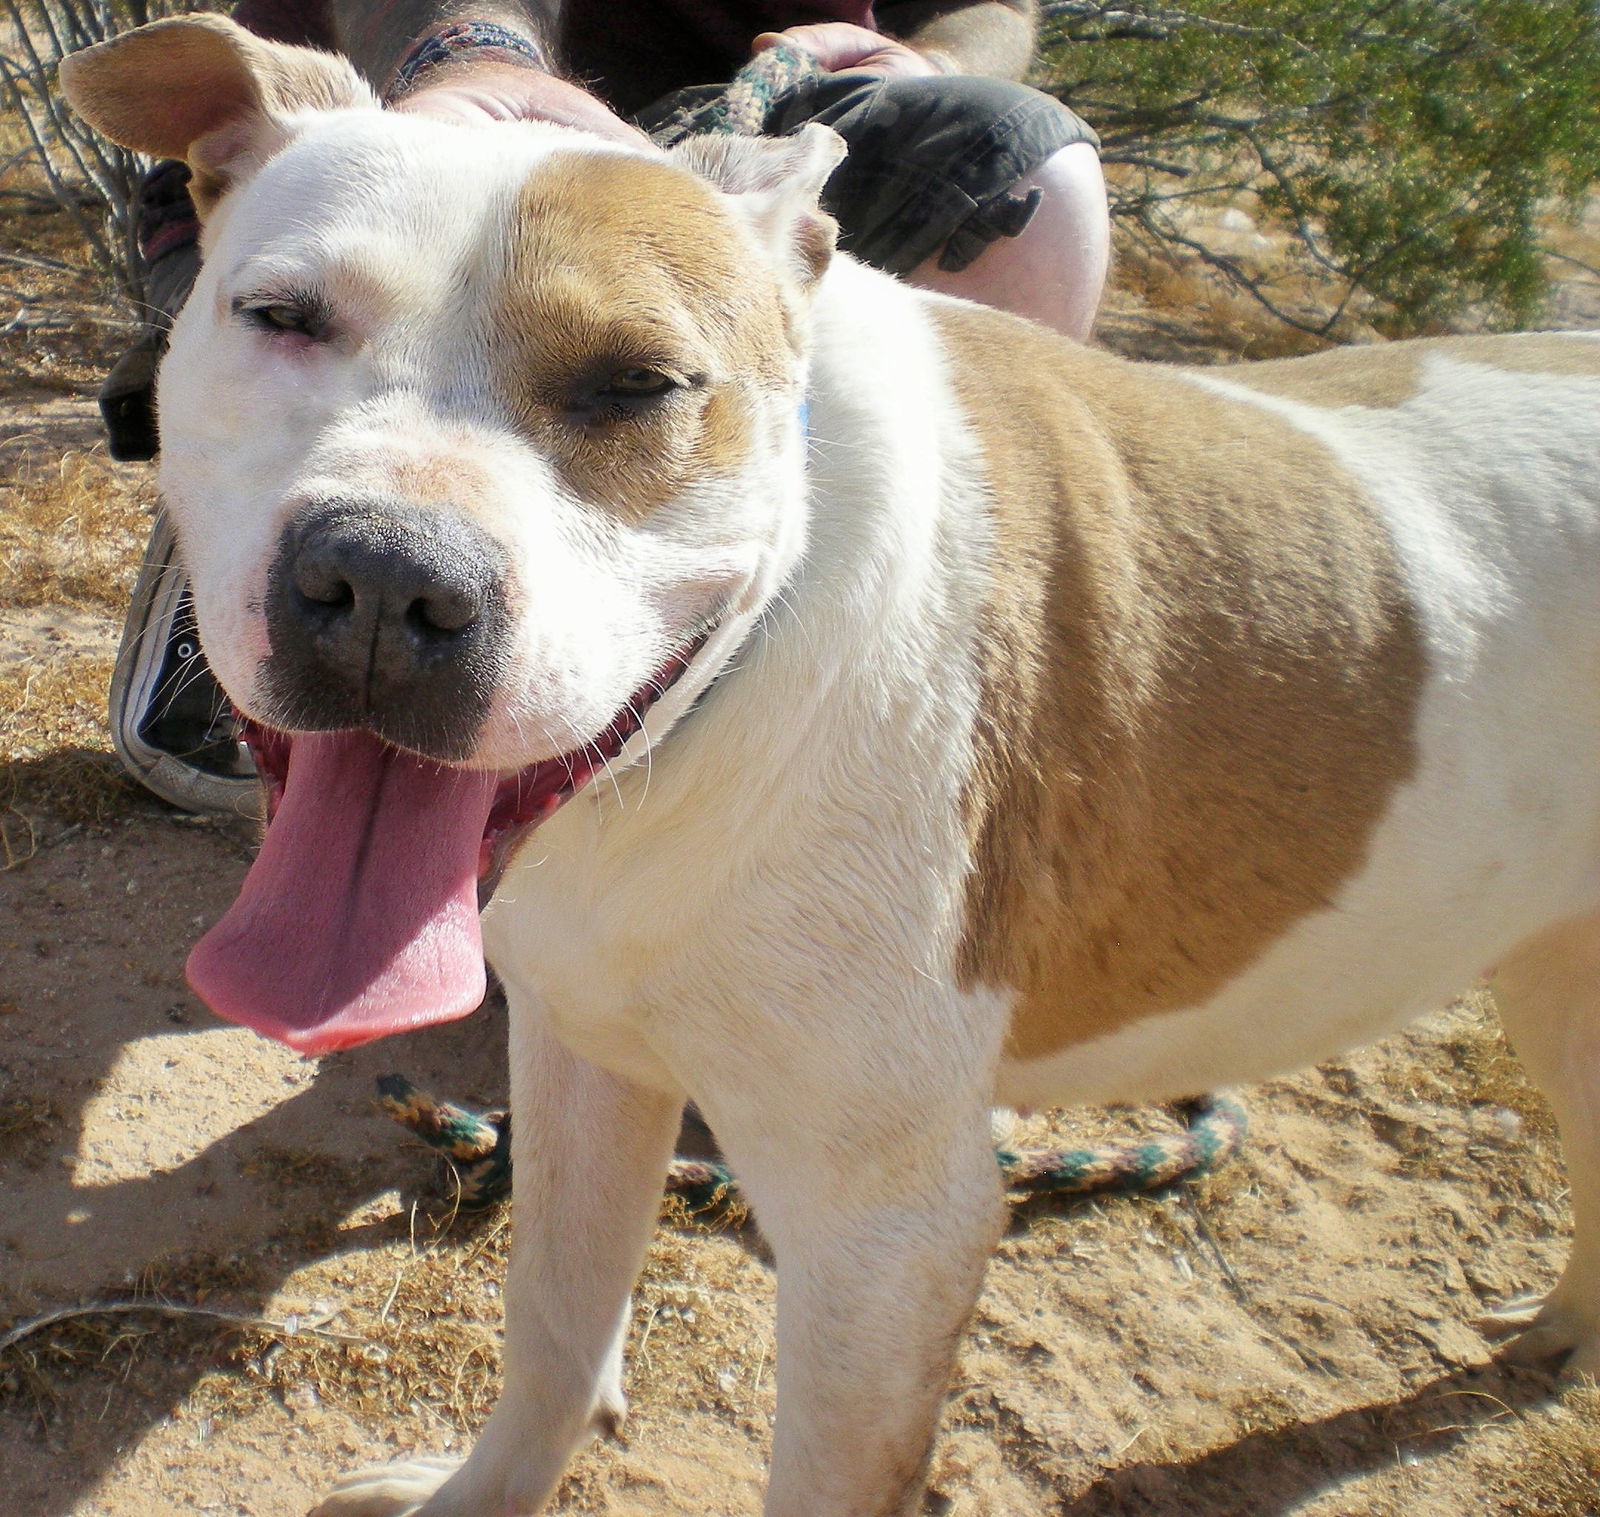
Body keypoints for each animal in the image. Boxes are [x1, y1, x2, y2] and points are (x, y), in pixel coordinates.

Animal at [68, 20, 1600, 1517]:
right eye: (281, 316)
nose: (387, 582)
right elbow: (555, 1326)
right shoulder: (585, 1050)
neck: (701, 731)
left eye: (642, 384)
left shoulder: (886, 1239)